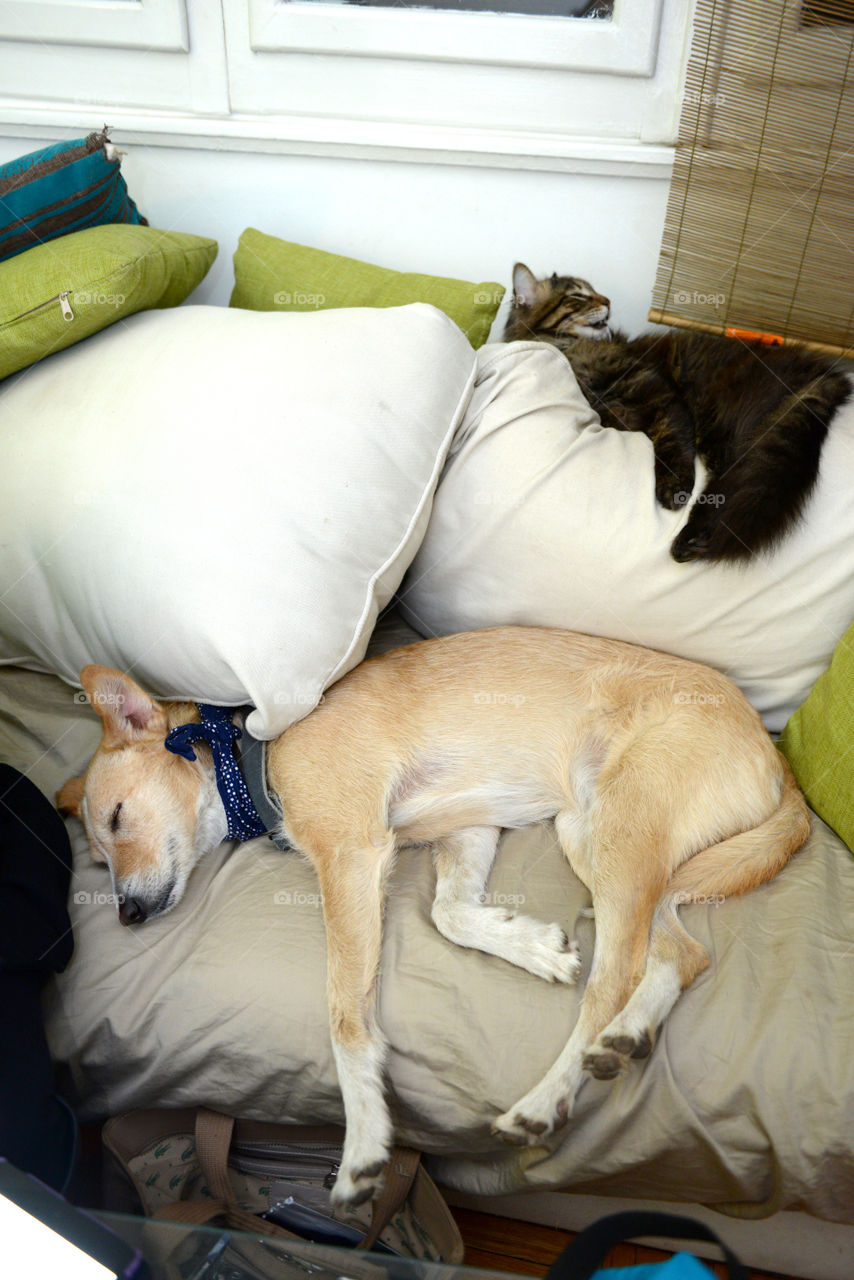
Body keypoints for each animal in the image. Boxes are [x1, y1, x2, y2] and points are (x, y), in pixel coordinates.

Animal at [58, 629, 809, 1208]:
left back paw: (546, 1100)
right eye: (96, 857)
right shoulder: (469, 831)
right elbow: (450, 913)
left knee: (615, 976)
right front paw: (533, 946)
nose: (126, 913)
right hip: (597, 837)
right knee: (681, 955)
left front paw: (364, 1140)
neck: (253, 760)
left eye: (118, 819)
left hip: (625, 833)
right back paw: (625, 1037)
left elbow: (346, 1019)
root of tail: (780, 765)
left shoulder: (353, 855)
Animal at [504, 262, 850, 563]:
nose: (608, 300)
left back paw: (692, 539)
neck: (576, 353)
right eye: (577, 296)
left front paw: (673, 488)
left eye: (595, 292)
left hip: (724, 427)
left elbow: (671, 443)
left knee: (734, 485)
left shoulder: (661, 395)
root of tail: (826, 373)